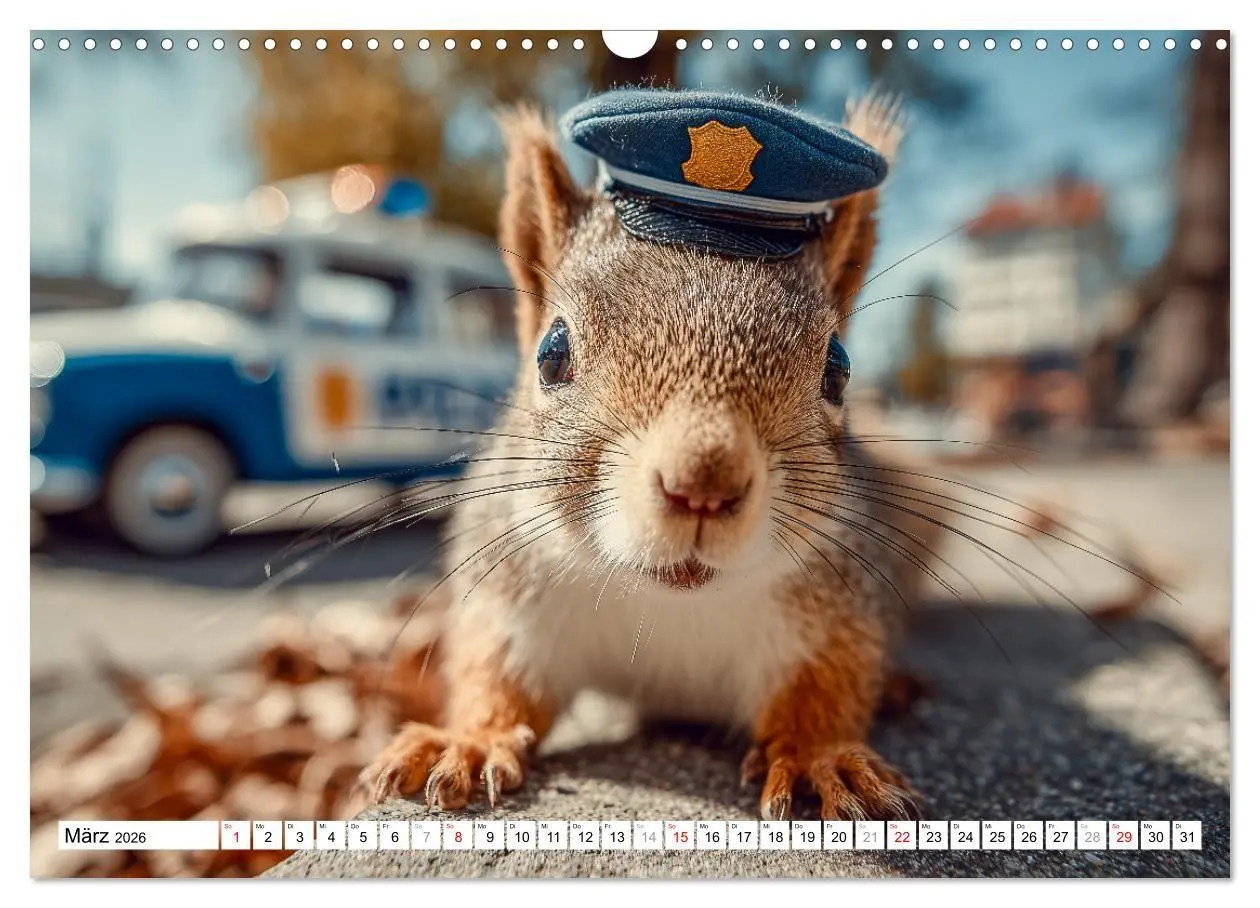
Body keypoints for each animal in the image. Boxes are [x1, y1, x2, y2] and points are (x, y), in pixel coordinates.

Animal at [358, 91, 947, 822]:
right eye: (551, 353)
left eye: (838, 370)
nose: (704, 484)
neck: (666, 602)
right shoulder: (512, 600)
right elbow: (493, 674)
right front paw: (467, 740)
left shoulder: (835, 608)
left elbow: (829, 682)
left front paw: (821, 756)